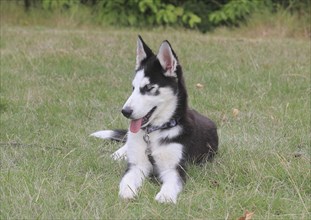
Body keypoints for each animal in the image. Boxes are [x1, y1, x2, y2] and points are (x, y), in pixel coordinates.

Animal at [91, 35, 219, 203]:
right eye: (133, 88)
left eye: (149, 88)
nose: (125, 111)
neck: (155, 132)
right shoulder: (137, 165)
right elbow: (127, 179)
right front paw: (127, 192)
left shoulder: (174, 168)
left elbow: (171, 183)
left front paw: (165, 196)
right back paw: (117, 154)